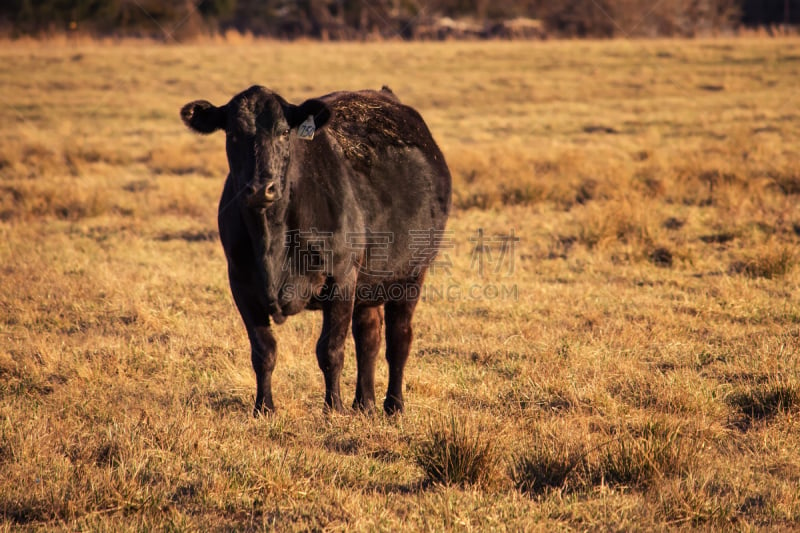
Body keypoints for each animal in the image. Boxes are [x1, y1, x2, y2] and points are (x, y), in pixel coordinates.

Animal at [184, 85, 454, 416]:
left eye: (284, 132)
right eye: (233, 134)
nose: (261, 188)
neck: (272, 238)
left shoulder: (341, 277)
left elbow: (330, 350)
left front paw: (333, 407)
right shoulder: (241, 282)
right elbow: (263, 350)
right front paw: (264, 408)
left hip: (411, 274)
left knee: (398, 340)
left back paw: (394, 405)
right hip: (368, 284)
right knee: (369, 338)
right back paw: (364, 403)